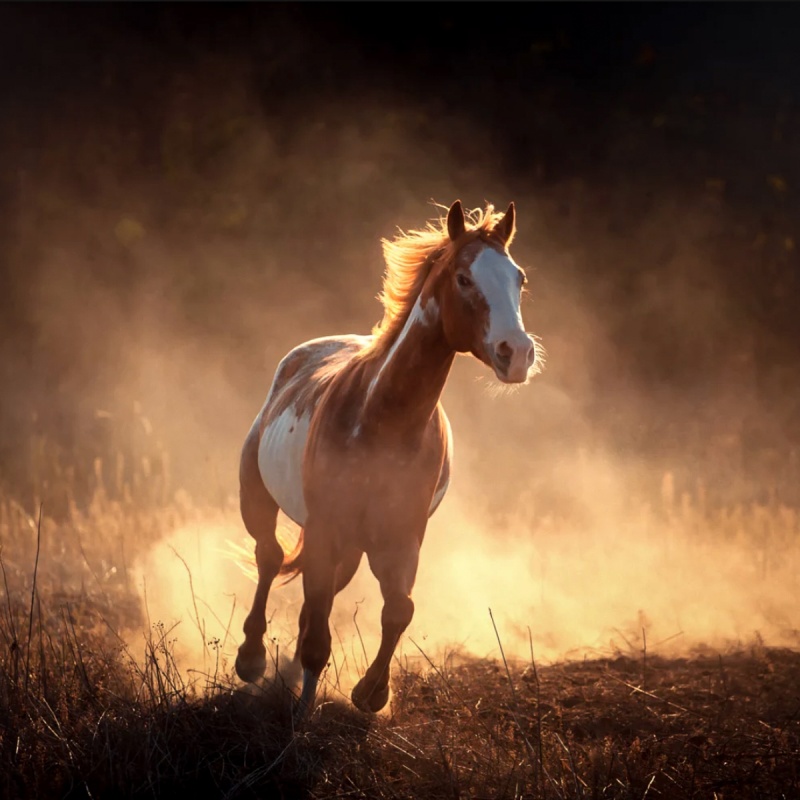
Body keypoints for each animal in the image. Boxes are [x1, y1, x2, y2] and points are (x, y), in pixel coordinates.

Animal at [234, 197, 540, 716]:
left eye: (518, 277)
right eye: (464, 278)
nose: (515, 353)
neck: (382, 420)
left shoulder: (402, 537)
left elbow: (398, 609)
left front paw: (371, 693)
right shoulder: (327, 527)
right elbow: (316, 627)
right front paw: (304, 711)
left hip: (352, 546)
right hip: (259, 499)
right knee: (270, 557)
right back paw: (251, 660)